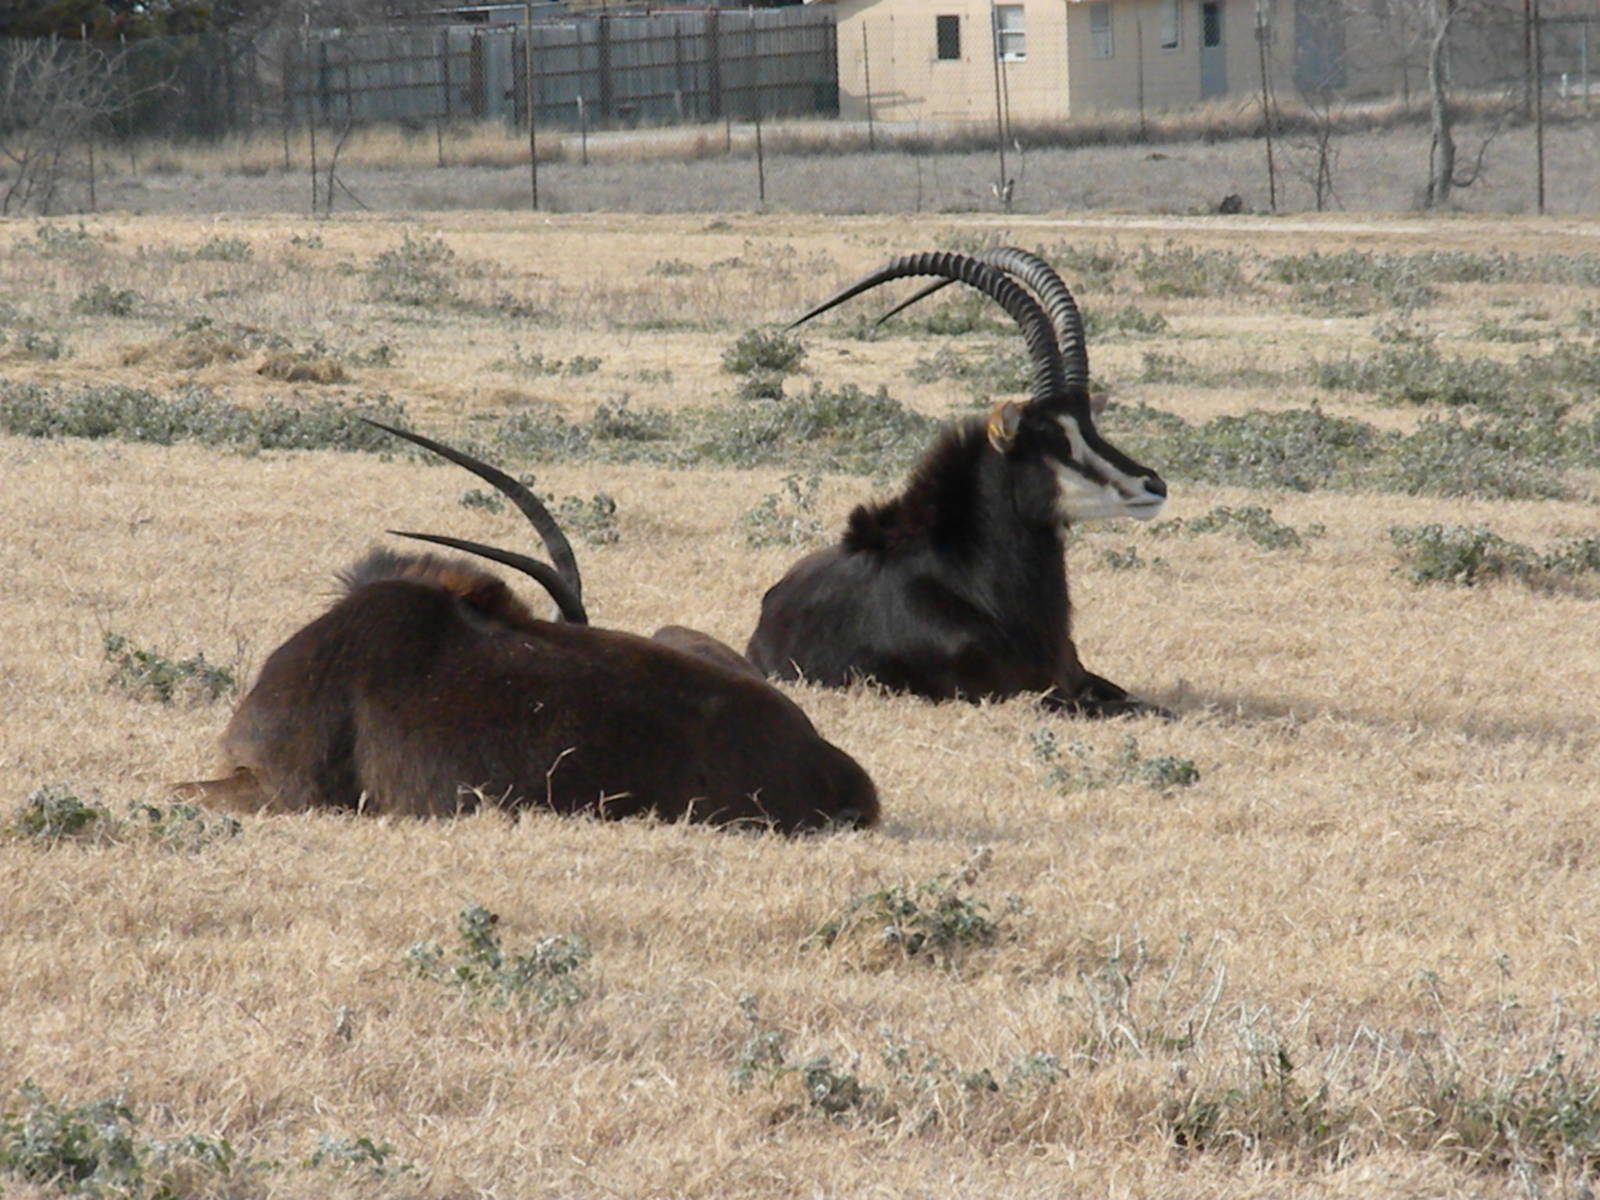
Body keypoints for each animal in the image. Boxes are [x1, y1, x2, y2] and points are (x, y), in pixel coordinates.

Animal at [746, 248, 1169, 718]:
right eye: (1052, 439)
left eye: (1089, 427)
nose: (1153, 485)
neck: (976, 590)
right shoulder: (1027, 697)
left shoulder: (1076, 677)